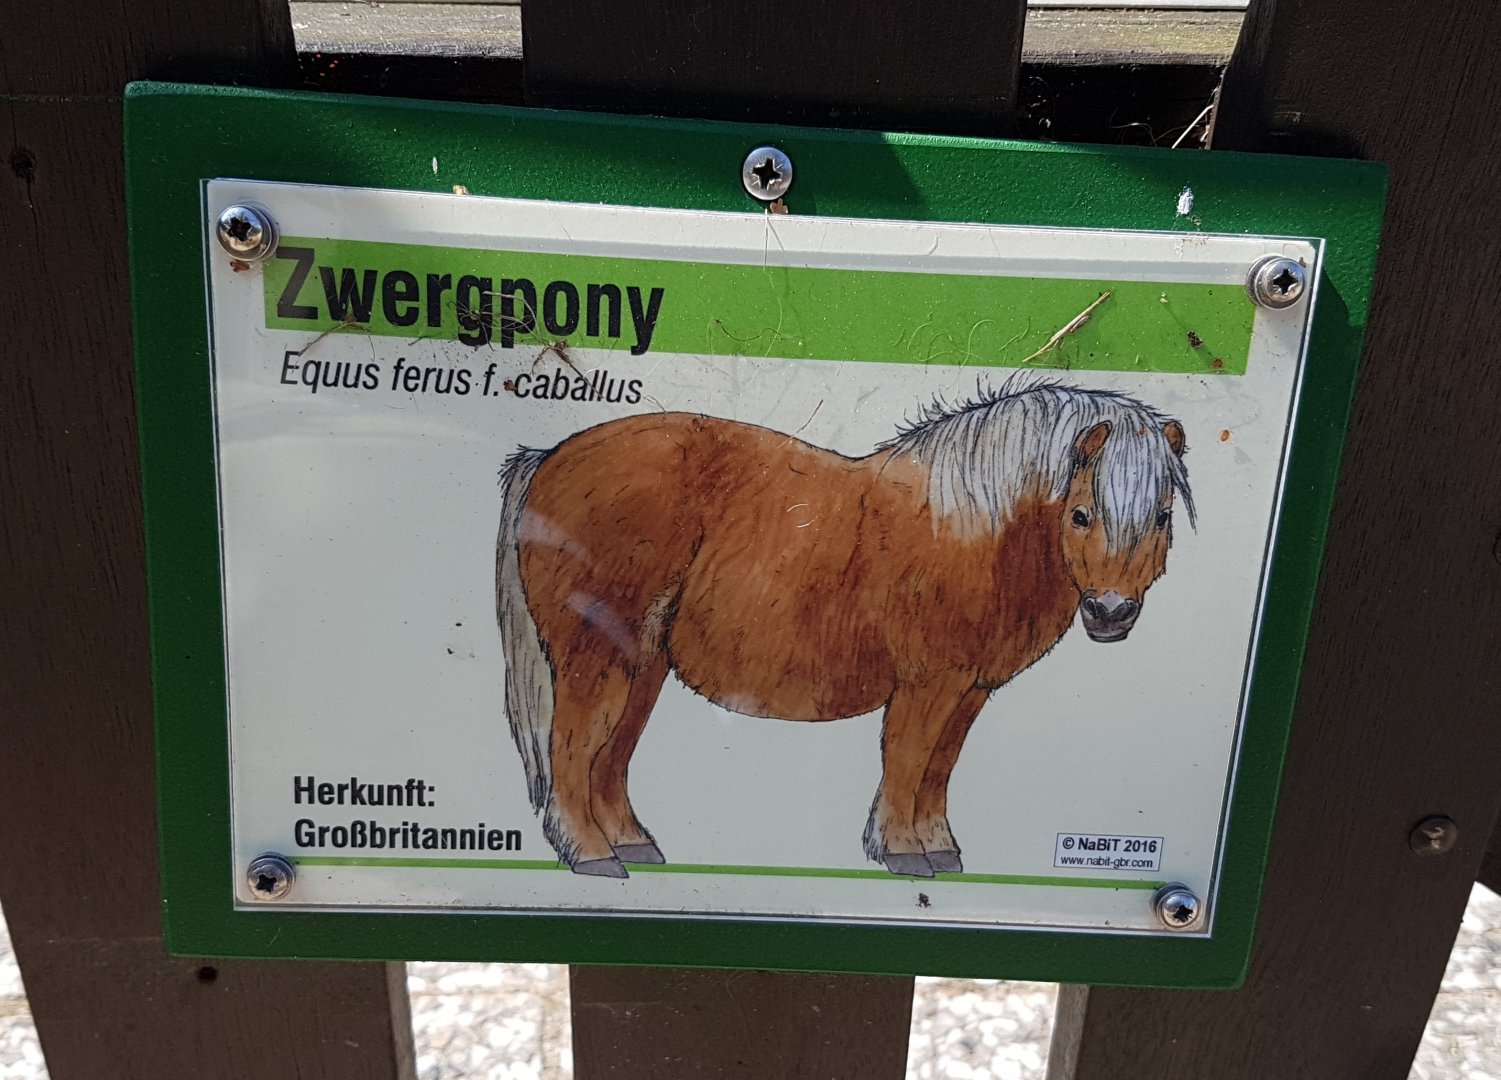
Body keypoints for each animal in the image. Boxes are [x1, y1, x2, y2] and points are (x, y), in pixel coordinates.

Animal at [496, 380, 1193, 879]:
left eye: (1161, 516)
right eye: (1080, 514)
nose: (1110, 613)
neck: (972, 529)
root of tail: (548, 458)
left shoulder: (969, 689)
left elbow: (939, 768)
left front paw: (939, 848)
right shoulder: (928, 682)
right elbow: (907, 761)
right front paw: (903, 851)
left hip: (643, 663)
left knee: (609, 757)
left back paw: (631, 845)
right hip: (596, 661)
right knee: (572, 748)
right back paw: (590, 855)